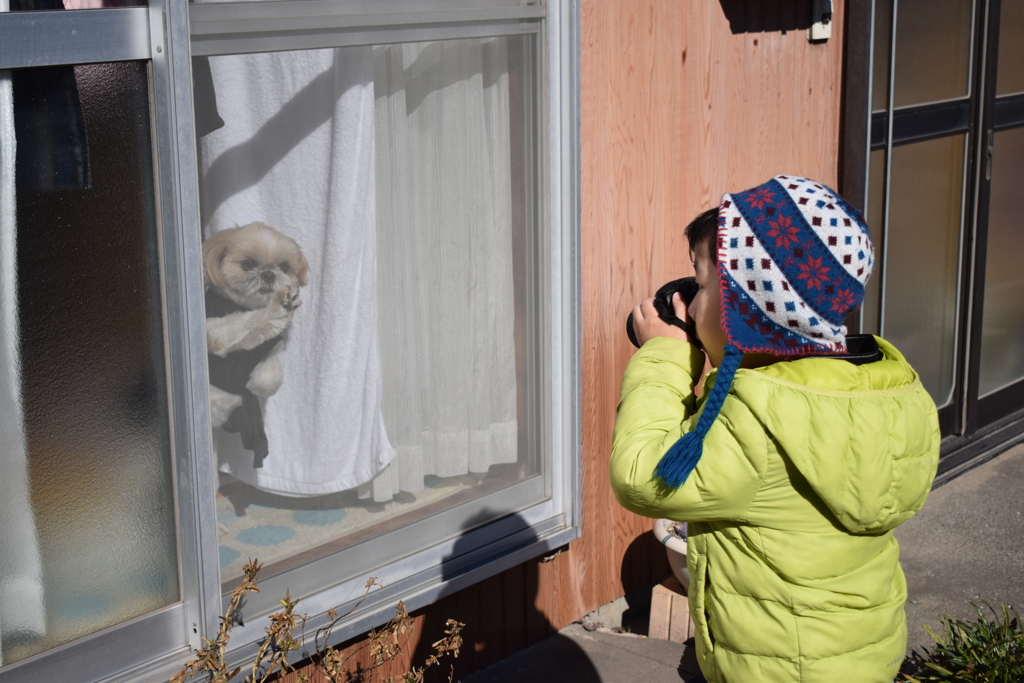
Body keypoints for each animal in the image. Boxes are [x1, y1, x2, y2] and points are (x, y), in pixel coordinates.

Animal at [201, 222, 307, 466]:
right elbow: (250, 321)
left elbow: (270, 377)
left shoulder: (272, 345)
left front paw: (255, 385)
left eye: (284, 266)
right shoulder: (215, 330)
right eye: (248, 263)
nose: (268, 273)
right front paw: (279, 308)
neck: (242, 304)